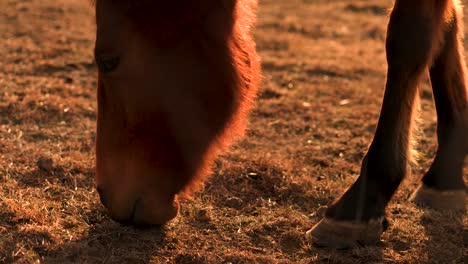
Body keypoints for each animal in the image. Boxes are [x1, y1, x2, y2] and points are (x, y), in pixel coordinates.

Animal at [91, 0, 464, 250]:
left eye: (108, 61)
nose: (108, 196)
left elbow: (408, 38)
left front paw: (361, 203)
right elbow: (447, 27)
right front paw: (445, 177)